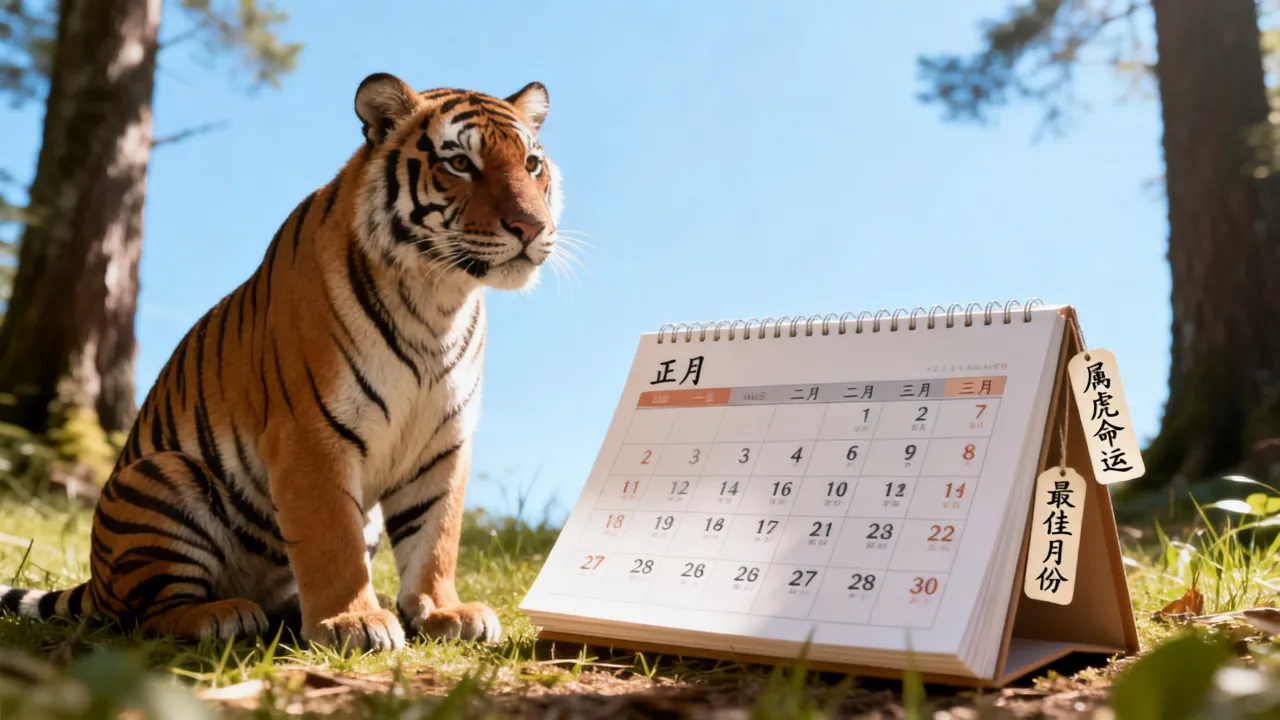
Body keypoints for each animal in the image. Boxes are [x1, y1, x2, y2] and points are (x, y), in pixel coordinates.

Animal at [0, 71, 564, 652]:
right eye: (459, 164)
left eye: (531, 163)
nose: (531, 227)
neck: (437, 298)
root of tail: (95, 581)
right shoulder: (312, 433)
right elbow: (329, 539)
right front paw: (352, 623)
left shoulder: (443, 441)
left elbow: (436, 536)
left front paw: (442, 611)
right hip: (163, 476)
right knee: (147, 615)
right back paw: (221, 614)